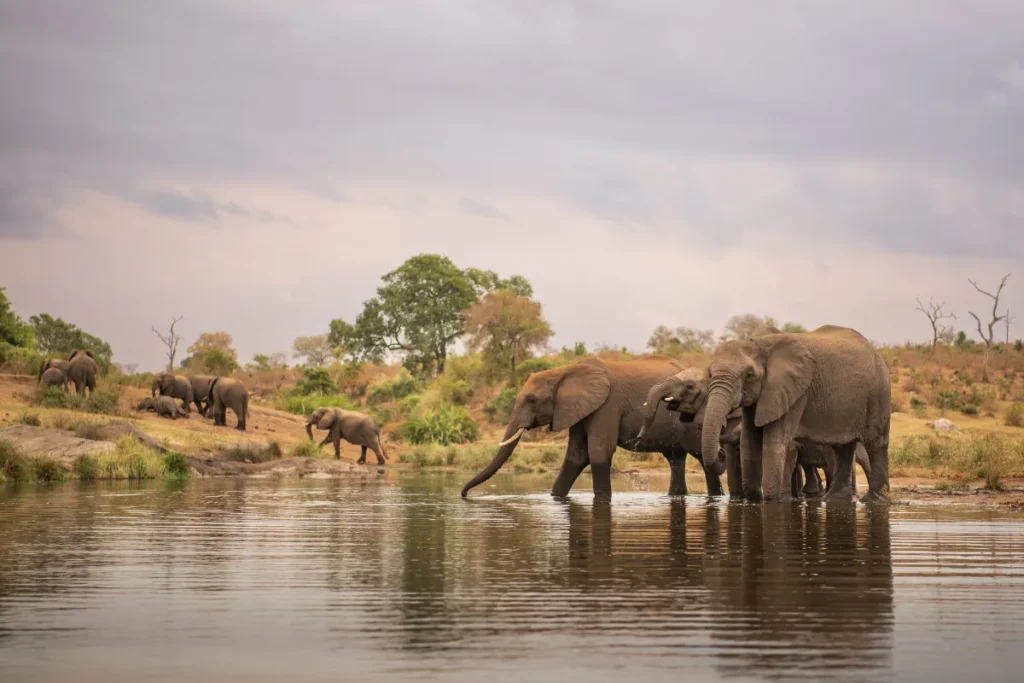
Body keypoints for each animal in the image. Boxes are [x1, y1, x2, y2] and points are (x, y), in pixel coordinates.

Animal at [461, 356, 728, 500]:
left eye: (532, 400)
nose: (463, 494)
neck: (564, 371)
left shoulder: (606, 405)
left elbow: (599, 452)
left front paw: (601, 499)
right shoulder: (577, 410)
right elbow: (576, 456)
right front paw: (555, 497)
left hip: (694, 423)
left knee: (702, 456)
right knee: (676, 459)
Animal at [698, 325, 891, 502]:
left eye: (749, 375)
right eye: (710, 373)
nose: (721, 453)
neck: (759, 343)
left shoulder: (793, 392)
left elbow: (774, 444)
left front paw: (773, 502)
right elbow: (749, 442)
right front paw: (754, 500)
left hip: (878, 391)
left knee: (875, 443)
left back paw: (874, 500)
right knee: (843, 448)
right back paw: (833, 499)